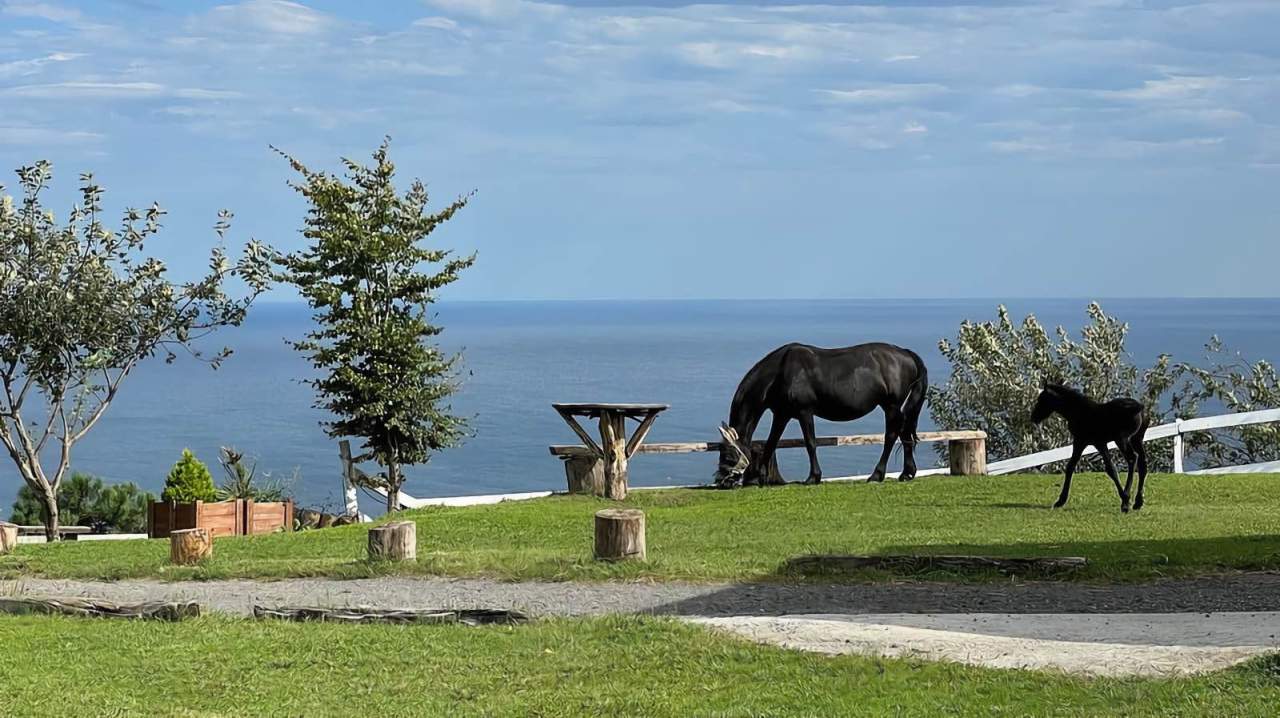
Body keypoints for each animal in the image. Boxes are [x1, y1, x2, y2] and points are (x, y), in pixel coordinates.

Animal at [714, 342, 928, 488]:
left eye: (728, 453)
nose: (721, 481)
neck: (780, 372)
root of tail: (906, 353)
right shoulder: (782, 415)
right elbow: (771, 443)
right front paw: (758, 477)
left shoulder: (805, 412)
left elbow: (810, 443)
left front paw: (813, 477)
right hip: (896, 408)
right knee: (904, 431)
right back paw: (907, 473)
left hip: (891, 406)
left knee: (891, 435)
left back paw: (877, 474)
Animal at [1030, 381, 1150, 512]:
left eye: (1042, 399)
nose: (1033, 417)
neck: (1080, 412)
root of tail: (1140, 407)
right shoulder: (1080, 442)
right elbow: (1070, 467)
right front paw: (1060, 501)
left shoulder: (1098, 443)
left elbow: (1111, 469)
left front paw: (1125, 499)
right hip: (1137, 438)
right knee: (1142, 465)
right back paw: (1138, 502)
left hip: (1122, 439)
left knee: (1132, 459)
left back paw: (1126, 501)